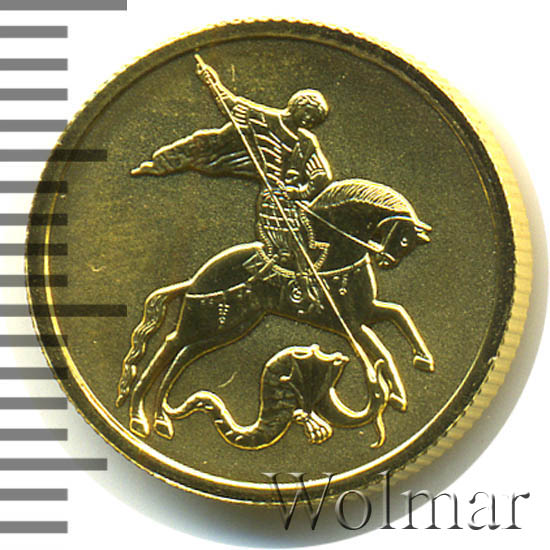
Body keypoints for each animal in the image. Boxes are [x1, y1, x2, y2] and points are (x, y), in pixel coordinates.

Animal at [116, 179, 433, 444]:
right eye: (404, 239)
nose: (388, 261)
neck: (338, 252)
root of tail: (194, 280)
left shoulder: (363, 313)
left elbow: (398, 315)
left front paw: (420, 364)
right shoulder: (350, 323)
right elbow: (381, 348)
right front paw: (398, 392)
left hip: (227, 327)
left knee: (182, 356)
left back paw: (160, 419)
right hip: (204, 322)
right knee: (169, 347)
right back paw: (139, 417)